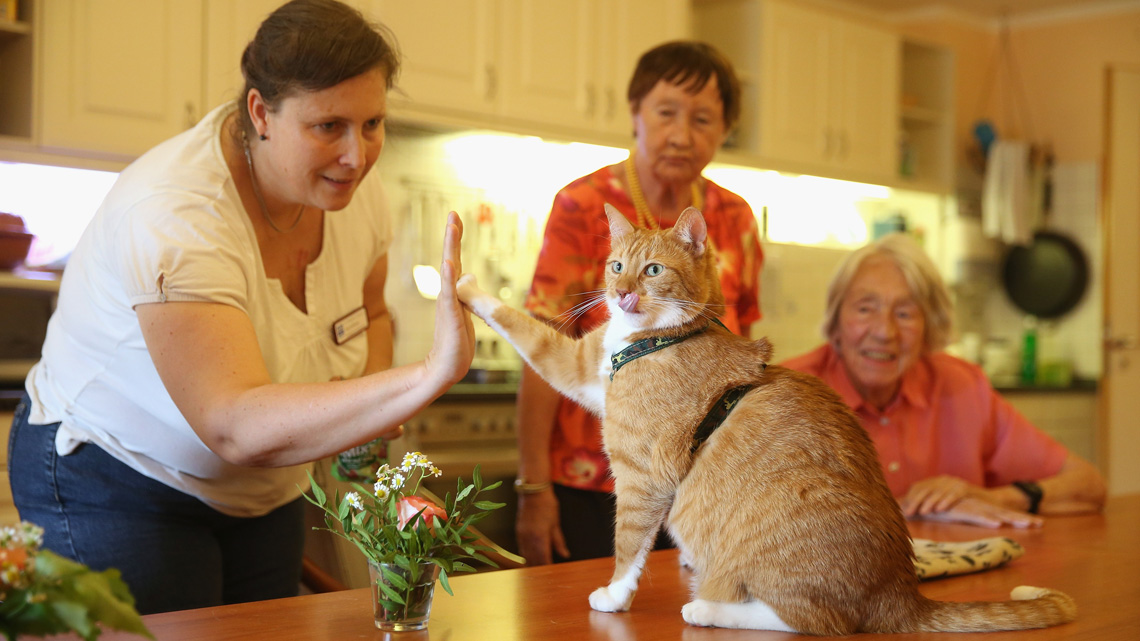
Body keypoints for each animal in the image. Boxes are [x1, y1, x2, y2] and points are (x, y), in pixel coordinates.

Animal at [451, 204, 1067, 634]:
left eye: (653, 271)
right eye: (616, 266)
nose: (621, 295)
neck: (650, 341)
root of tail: (904, 594)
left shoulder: (642, 476)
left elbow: (627, 547)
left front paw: (613, 597)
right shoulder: (579, 368)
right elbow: (524, 328)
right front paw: (464, 284)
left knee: (819, 622)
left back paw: (710, 609)